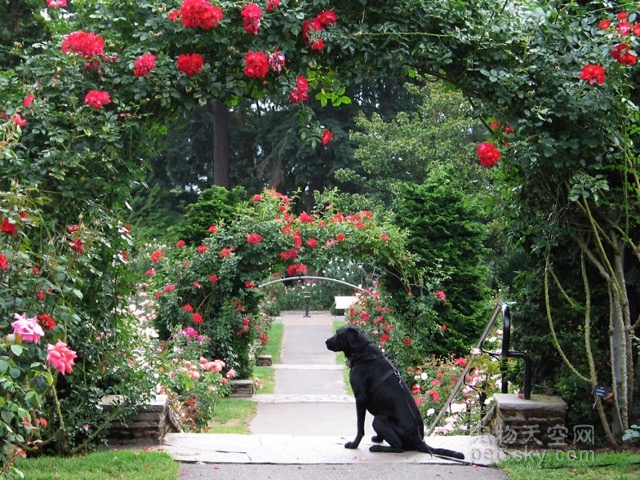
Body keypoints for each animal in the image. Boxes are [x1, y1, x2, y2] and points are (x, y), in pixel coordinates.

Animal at [328, 324, 462, 460]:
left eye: (338, 333)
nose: (326, 342)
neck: (363, 352)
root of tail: (420, 441)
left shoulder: (360, 399)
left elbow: (360, 427)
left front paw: (354, 444)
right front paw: (378, 438)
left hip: (378, 420)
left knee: (399, 447)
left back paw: (377, 448)